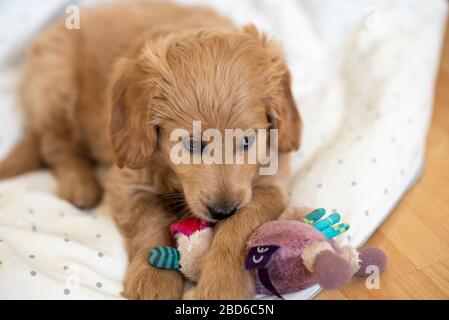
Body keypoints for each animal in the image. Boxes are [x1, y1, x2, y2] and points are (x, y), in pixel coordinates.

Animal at [0, 1, 300, 300]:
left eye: (247, 141)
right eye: (191, 144)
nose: (222, 211)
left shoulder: (270, 183)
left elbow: (240, 228)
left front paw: (222, 285)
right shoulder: (129, 179)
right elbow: (151, 223)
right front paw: (154, 279)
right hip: (55, 84)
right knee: (55, 145)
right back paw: (81, 186)